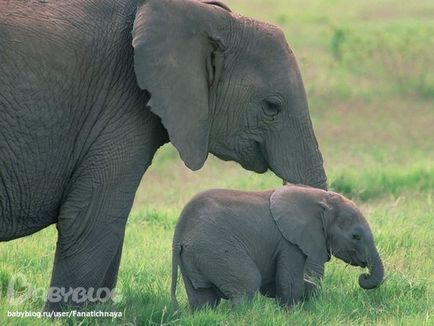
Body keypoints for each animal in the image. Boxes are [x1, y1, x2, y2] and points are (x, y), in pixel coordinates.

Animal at [0, 0, 326, 310]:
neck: (209, 17)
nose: (300, 300)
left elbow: (109, 224)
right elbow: (92, 220)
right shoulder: (120, 105)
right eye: (272, 107)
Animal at [170, 185, 384, 310]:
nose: (364, 276)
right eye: (355, 236)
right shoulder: (289, 242)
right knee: (247, 284)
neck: (321, 200)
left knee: (202, 299)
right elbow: (289, 282)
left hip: (195, 256)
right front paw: (290, 313)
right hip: (215, 249)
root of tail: (180, 230)